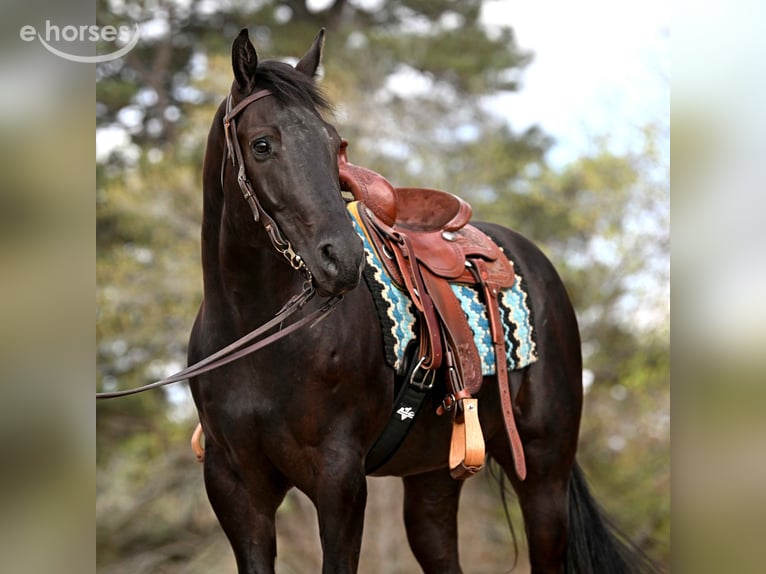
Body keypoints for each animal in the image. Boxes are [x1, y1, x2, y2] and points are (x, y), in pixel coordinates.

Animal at [187, 27, 658, 574]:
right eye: (262, 145)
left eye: (333, 146)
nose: (342, 257)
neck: (258, 337)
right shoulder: (235, 487)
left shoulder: (339, 479)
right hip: (433, 479)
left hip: (544, 476)